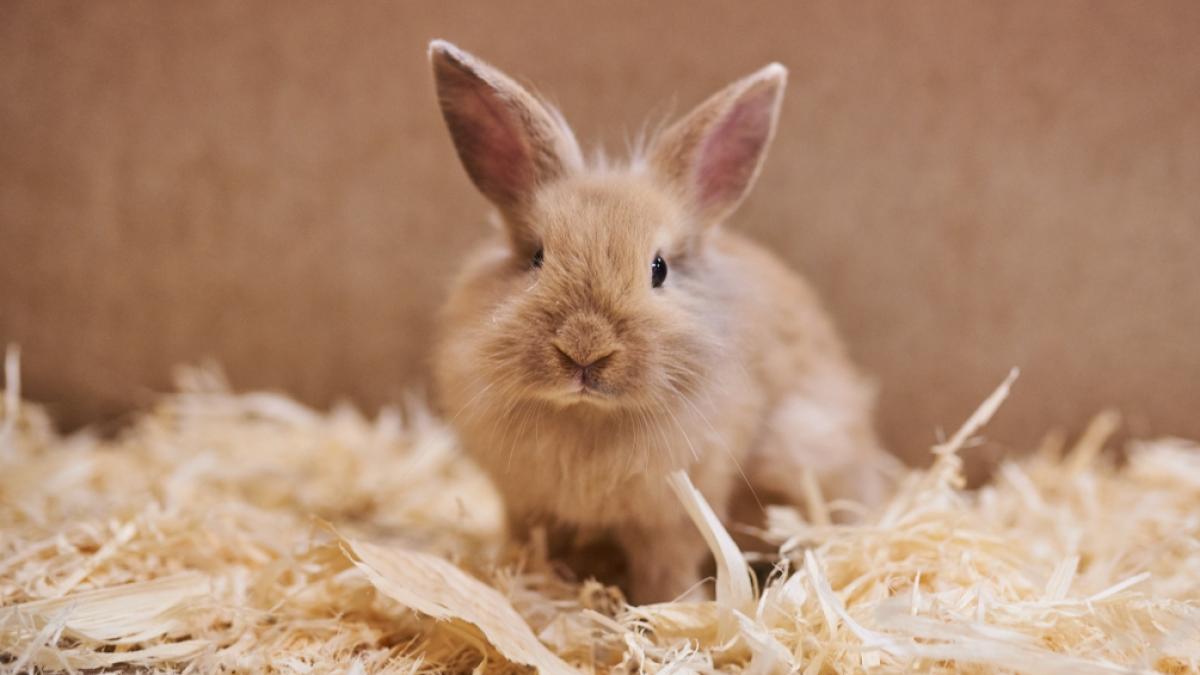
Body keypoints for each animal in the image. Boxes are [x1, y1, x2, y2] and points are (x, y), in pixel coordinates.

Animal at [428, 40, 898, 604]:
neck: (588, 417)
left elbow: (666, 570)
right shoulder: (526, 507)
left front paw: (674, 608)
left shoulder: (672, 515)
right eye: (536, 257)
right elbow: (533, 550)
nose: (584, 349)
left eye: (659, 269)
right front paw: (531, 586)